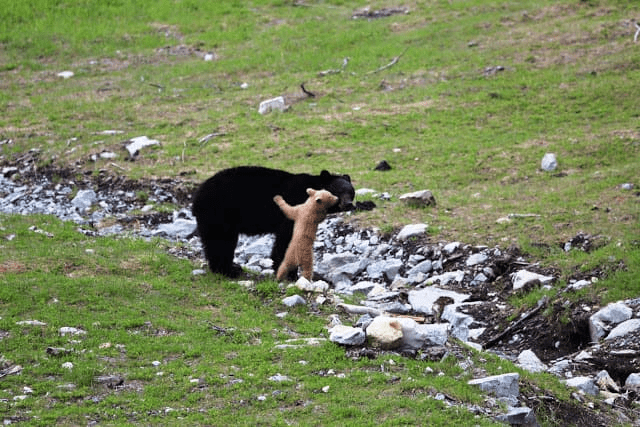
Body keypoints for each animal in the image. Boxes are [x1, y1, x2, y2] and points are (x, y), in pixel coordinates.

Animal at [192, 166, 358, 280]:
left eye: (351, 192)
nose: (348, 204)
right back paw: (227, 270)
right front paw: (290, 274)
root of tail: (198, 195)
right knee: (221, 241)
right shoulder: (295, 208)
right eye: (338, 191)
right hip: (220, 213)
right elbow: (287, 239)